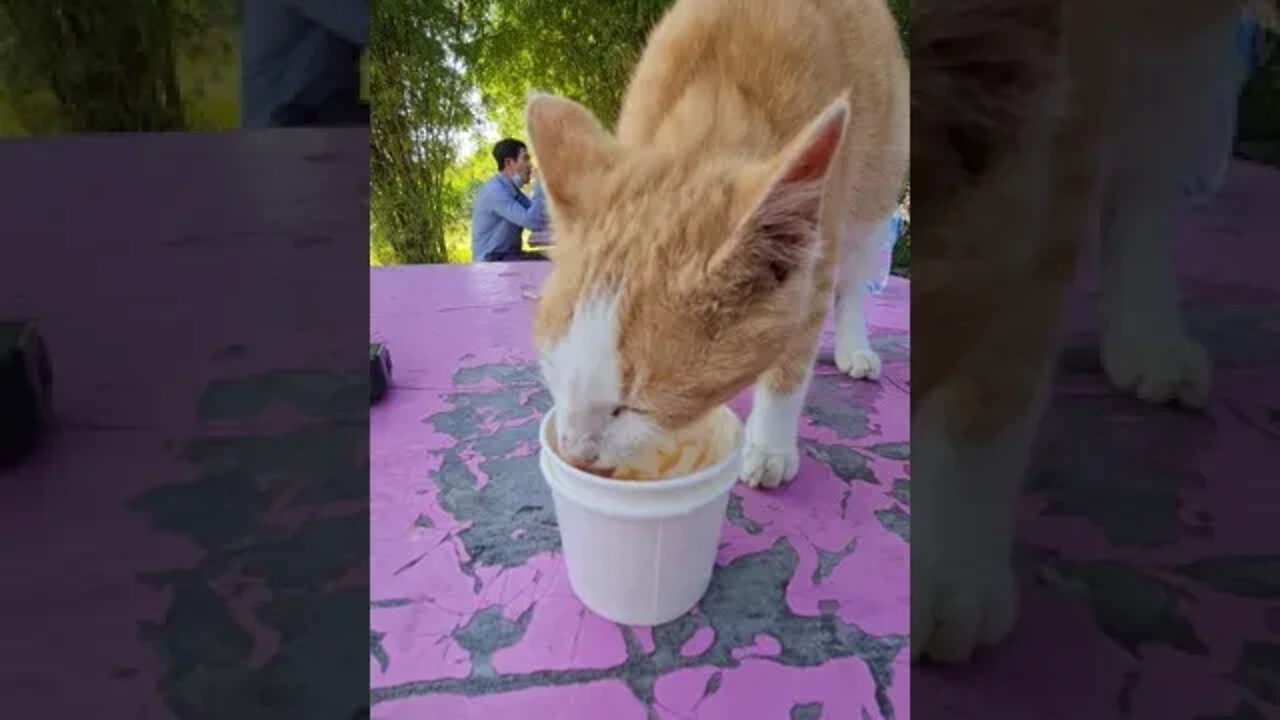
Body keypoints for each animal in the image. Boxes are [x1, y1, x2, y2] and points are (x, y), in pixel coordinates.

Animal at [524, 0, 906, 486]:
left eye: (631, 408)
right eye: (554, 367)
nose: (574, 451)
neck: (716, 101)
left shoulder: (817, 243)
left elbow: (796, 345)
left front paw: (769, 445)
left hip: (878, 171)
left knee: (857, 268)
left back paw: (853, 346)